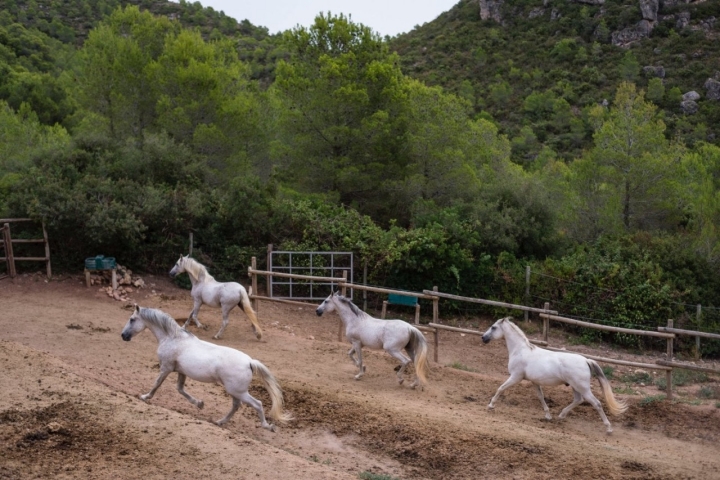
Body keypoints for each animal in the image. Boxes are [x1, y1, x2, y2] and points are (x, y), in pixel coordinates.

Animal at [120, 305, 291, 431]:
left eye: (132, 319)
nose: (123, 336)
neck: (172, 338)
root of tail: (249, 362)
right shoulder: (181, 372)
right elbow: (180, 389)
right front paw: (199, 404)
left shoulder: (166, 368)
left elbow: (157, 384)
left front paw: (144, 397)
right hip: (235, 391)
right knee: (236, 406)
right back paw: (219, 422)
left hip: (238, 391)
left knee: (257, 404)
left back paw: (267, 426)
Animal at [481, 317, 627, 433]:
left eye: (493, 327)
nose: (483, 338)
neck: (520, 351)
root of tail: (586, 360)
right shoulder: (534, 381)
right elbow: (541, 397)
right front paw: (548, 416)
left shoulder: (516, 377)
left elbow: (501, 388)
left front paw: (491, 405)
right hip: (575, 387)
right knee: (578, 400)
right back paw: (561, 415)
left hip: (583, 388)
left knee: (596, 403)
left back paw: (609, 428)